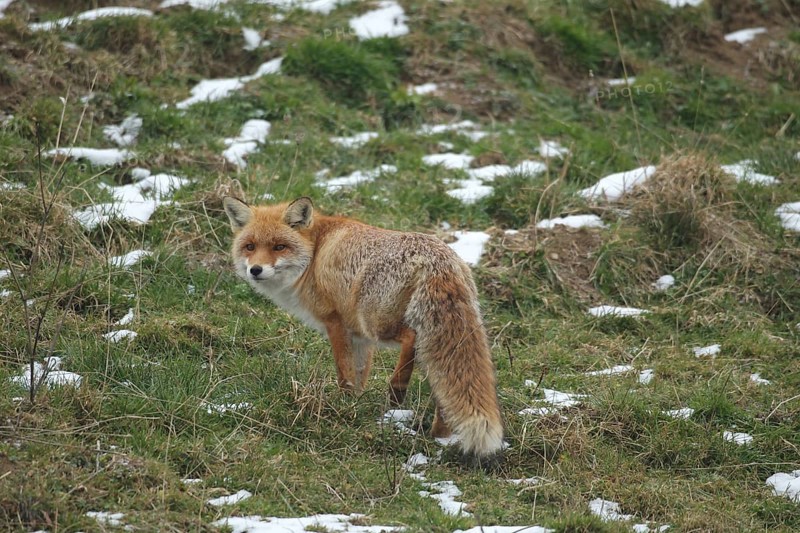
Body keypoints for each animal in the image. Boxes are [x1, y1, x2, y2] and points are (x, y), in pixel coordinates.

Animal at [222, 196, 504, 466]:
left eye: (279, 247)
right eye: (250, 247)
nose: (255, 270)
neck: (315, 255)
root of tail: (439, 260)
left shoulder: (336, 323)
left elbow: (344, 374)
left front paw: (344, 404)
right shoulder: (359, 337)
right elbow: (359, 374)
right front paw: (355, 406)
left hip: (377, 321)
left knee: (411, 338)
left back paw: (397, 389)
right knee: (442, 391)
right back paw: (439, 435)